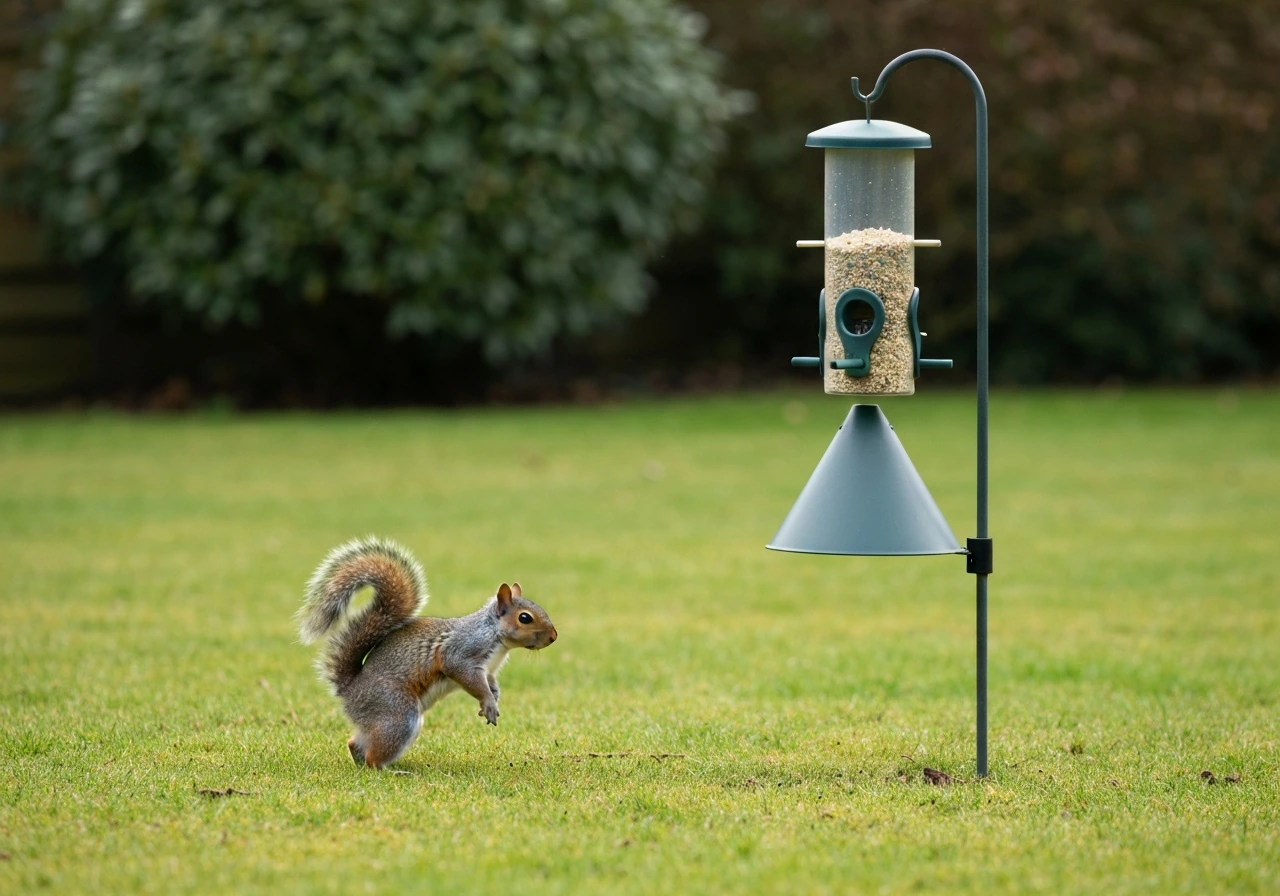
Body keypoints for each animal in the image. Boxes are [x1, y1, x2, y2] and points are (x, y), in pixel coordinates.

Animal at [296, 536, 558, 769]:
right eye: (525, 618)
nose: (554, 637)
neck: (496, 638)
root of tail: (349, 690)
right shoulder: (461, 652)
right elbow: (467, 676)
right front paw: (489, 703)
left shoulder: (489, 670)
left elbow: (491, 684)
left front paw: (493, 699)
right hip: (398, 714)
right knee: (374, 756)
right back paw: (389, 769)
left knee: (355, 743)